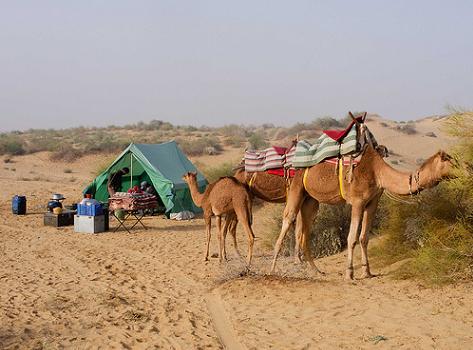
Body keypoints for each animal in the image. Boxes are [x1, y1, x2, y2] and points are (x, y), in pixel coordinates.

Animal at [272, 142, 456, 278]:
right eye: (449, 161)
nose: (462, 167)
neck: (378, 172)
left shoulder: (372, 202)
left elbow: (364, 238)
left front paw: (367, 272)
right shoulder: (357, 201)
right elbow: (352, 238)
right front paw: (349, 273)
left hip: (311, 200)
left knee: (305, 229)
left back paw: (316, 271)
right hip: (296, 186)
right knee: (288, 218)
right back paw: (272, 269)